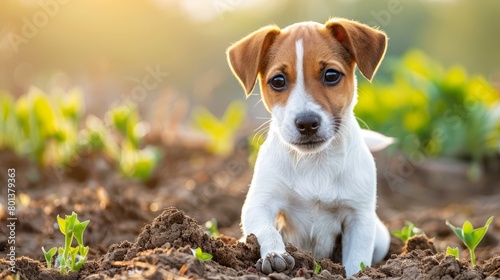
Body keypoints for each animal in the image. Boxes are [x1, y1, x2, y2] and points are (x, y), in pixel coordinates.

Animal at [226, 18, 390, 276]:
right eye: (278, 81)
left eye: (331, 75)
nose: (306, 123)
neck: (315, 161)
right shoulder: (259, 203)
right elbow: (267, 230)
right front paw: (274, 255)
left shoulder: (359, 217)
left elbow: (357, 259)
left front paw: (357, 275)